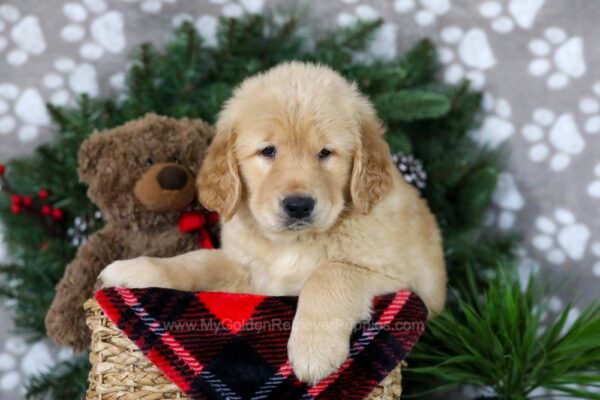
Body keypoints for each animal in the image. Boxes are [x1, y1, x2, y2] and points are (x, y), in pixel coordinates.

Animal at [98, 61, 446, 382]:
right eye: (268, 151)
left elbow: (330, 272)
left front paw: (313, 349)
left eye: (325, 153)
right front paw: (137, 269)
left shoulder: (406, 281)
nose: (299, 206)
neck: (293, 243)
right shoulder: (246, 269)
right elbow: (195, 261)